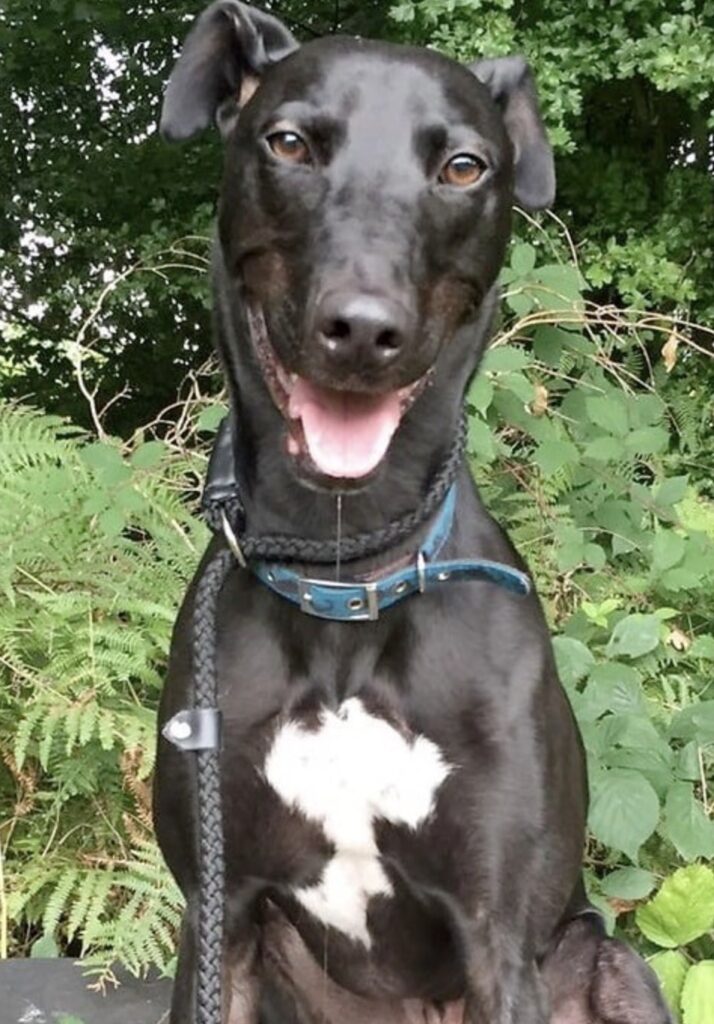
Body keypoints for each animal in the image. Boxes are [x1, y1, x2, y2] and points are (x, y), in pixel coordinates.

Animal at [153, 4, 672, 1019]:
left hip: (610, 961)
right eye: (288, 142)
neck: (346, 569)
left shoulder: (498, 936)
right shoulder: (216, 915)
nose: (363, 330)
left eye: (464, 166)